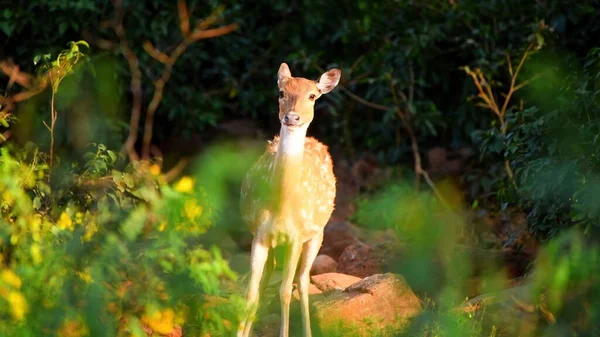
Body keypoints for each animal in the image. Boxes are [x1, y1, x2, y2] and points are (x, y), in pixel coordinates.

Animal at [239, 63, 342, 336]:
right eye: (281, 93)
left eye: (313, 96)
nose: (292, 117)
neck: (282, 208)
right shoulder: (259, 235)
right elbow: (250, 293)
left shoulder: (296, 236)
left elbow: (285, 292)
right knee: (269, 277)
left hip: (317, 234)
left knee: (302, 281)